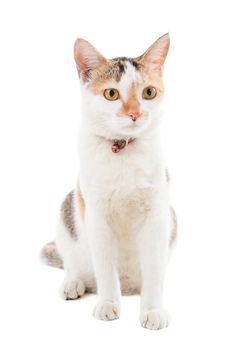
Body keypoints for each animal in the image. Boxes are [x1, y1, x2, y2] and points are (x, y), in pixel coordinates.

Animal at [41, 34, 177, 332]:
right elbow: (105, 269)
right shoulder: (96, 215)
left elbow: (154, 272)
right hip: (67, 215)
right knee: (73, 264)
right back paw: (73, 283)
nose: (135, 113)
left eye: (149, 93)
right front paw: (107, 304)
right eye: (111, 94)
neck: (123, 150)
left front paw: (153, 310)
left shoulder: (156, 216)